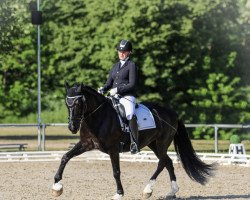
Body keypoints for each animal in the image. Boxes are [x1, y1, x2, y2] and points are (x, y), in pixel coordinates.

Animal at [51, 82, 216, 199]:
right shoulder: (86, 144)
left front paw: (119, 193)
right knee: (168, 162)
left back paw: (148, 190)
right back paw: (172, 192)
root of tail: (172, 113)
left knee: (162, 162)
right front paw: (57, 186)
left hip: (161, 143)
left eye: (78, 103)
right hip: (153, 143)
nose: (72, 127)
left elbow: (116, 171)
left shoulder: (113, 149)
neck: (98, 117)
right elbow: (65, 157)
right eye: (67, 104)